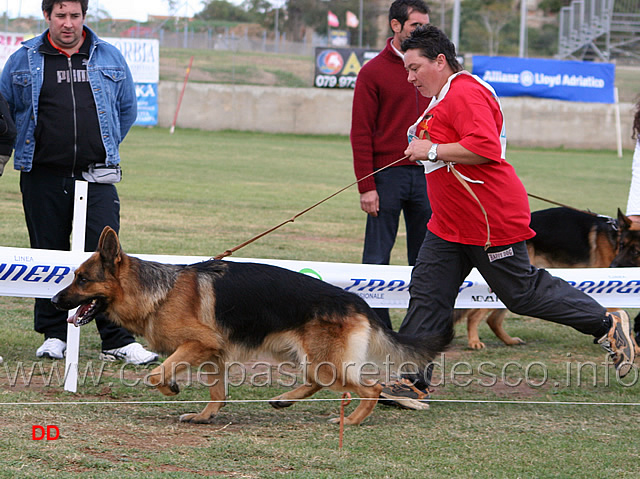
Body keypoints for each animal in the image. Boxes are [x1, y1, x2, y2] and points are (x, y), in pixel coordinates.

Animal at [52, 227, 452, 426]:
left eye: (83, 279)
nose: (55, 301)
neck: (158, 292)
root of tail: (359, 301)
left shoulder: (199, 344)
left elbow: (155, 374)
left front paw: (172, 387)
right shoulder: (212, 354)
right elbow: (217, 393)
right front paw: (204, 416)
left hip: (325, 362)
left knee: (369, 388)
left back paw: (351, 421)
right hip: (304, 356)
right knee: (318, 382)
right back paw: (284, 400)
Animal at [452, 208, 624, 350]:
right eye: (622, 245)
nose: (615, 266)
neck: (614, 237)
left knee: (493, 320)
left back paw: (509, 341)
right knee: (474, 316)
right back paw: (474, 341)